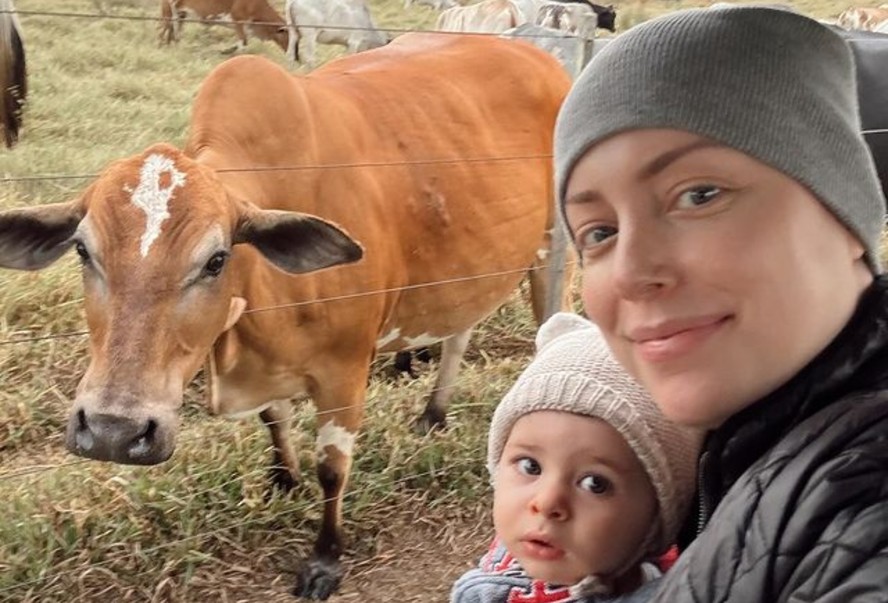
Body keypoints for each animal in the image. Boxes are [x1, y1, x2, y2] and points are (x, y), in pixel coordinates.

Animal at [0, 34, 568, 603]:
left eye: (216, 259)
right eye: (82, 250)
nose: (113, 430)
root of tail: (542, 57)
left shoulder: (345, 372)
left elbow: (332, 469)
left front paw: (325, 558)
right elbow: (275, 420)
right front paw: (283, 478)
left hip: (549, 248)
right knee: (458, 332)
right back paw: (434, 413)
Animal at [156, 0, 288, 52]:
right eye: (288, 35)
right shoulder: (238, 20)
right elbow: (243, 43)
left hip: (181, 14)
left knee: (173, 31)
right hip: (168, 12)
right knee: (163, 29)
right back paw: (162, 47)